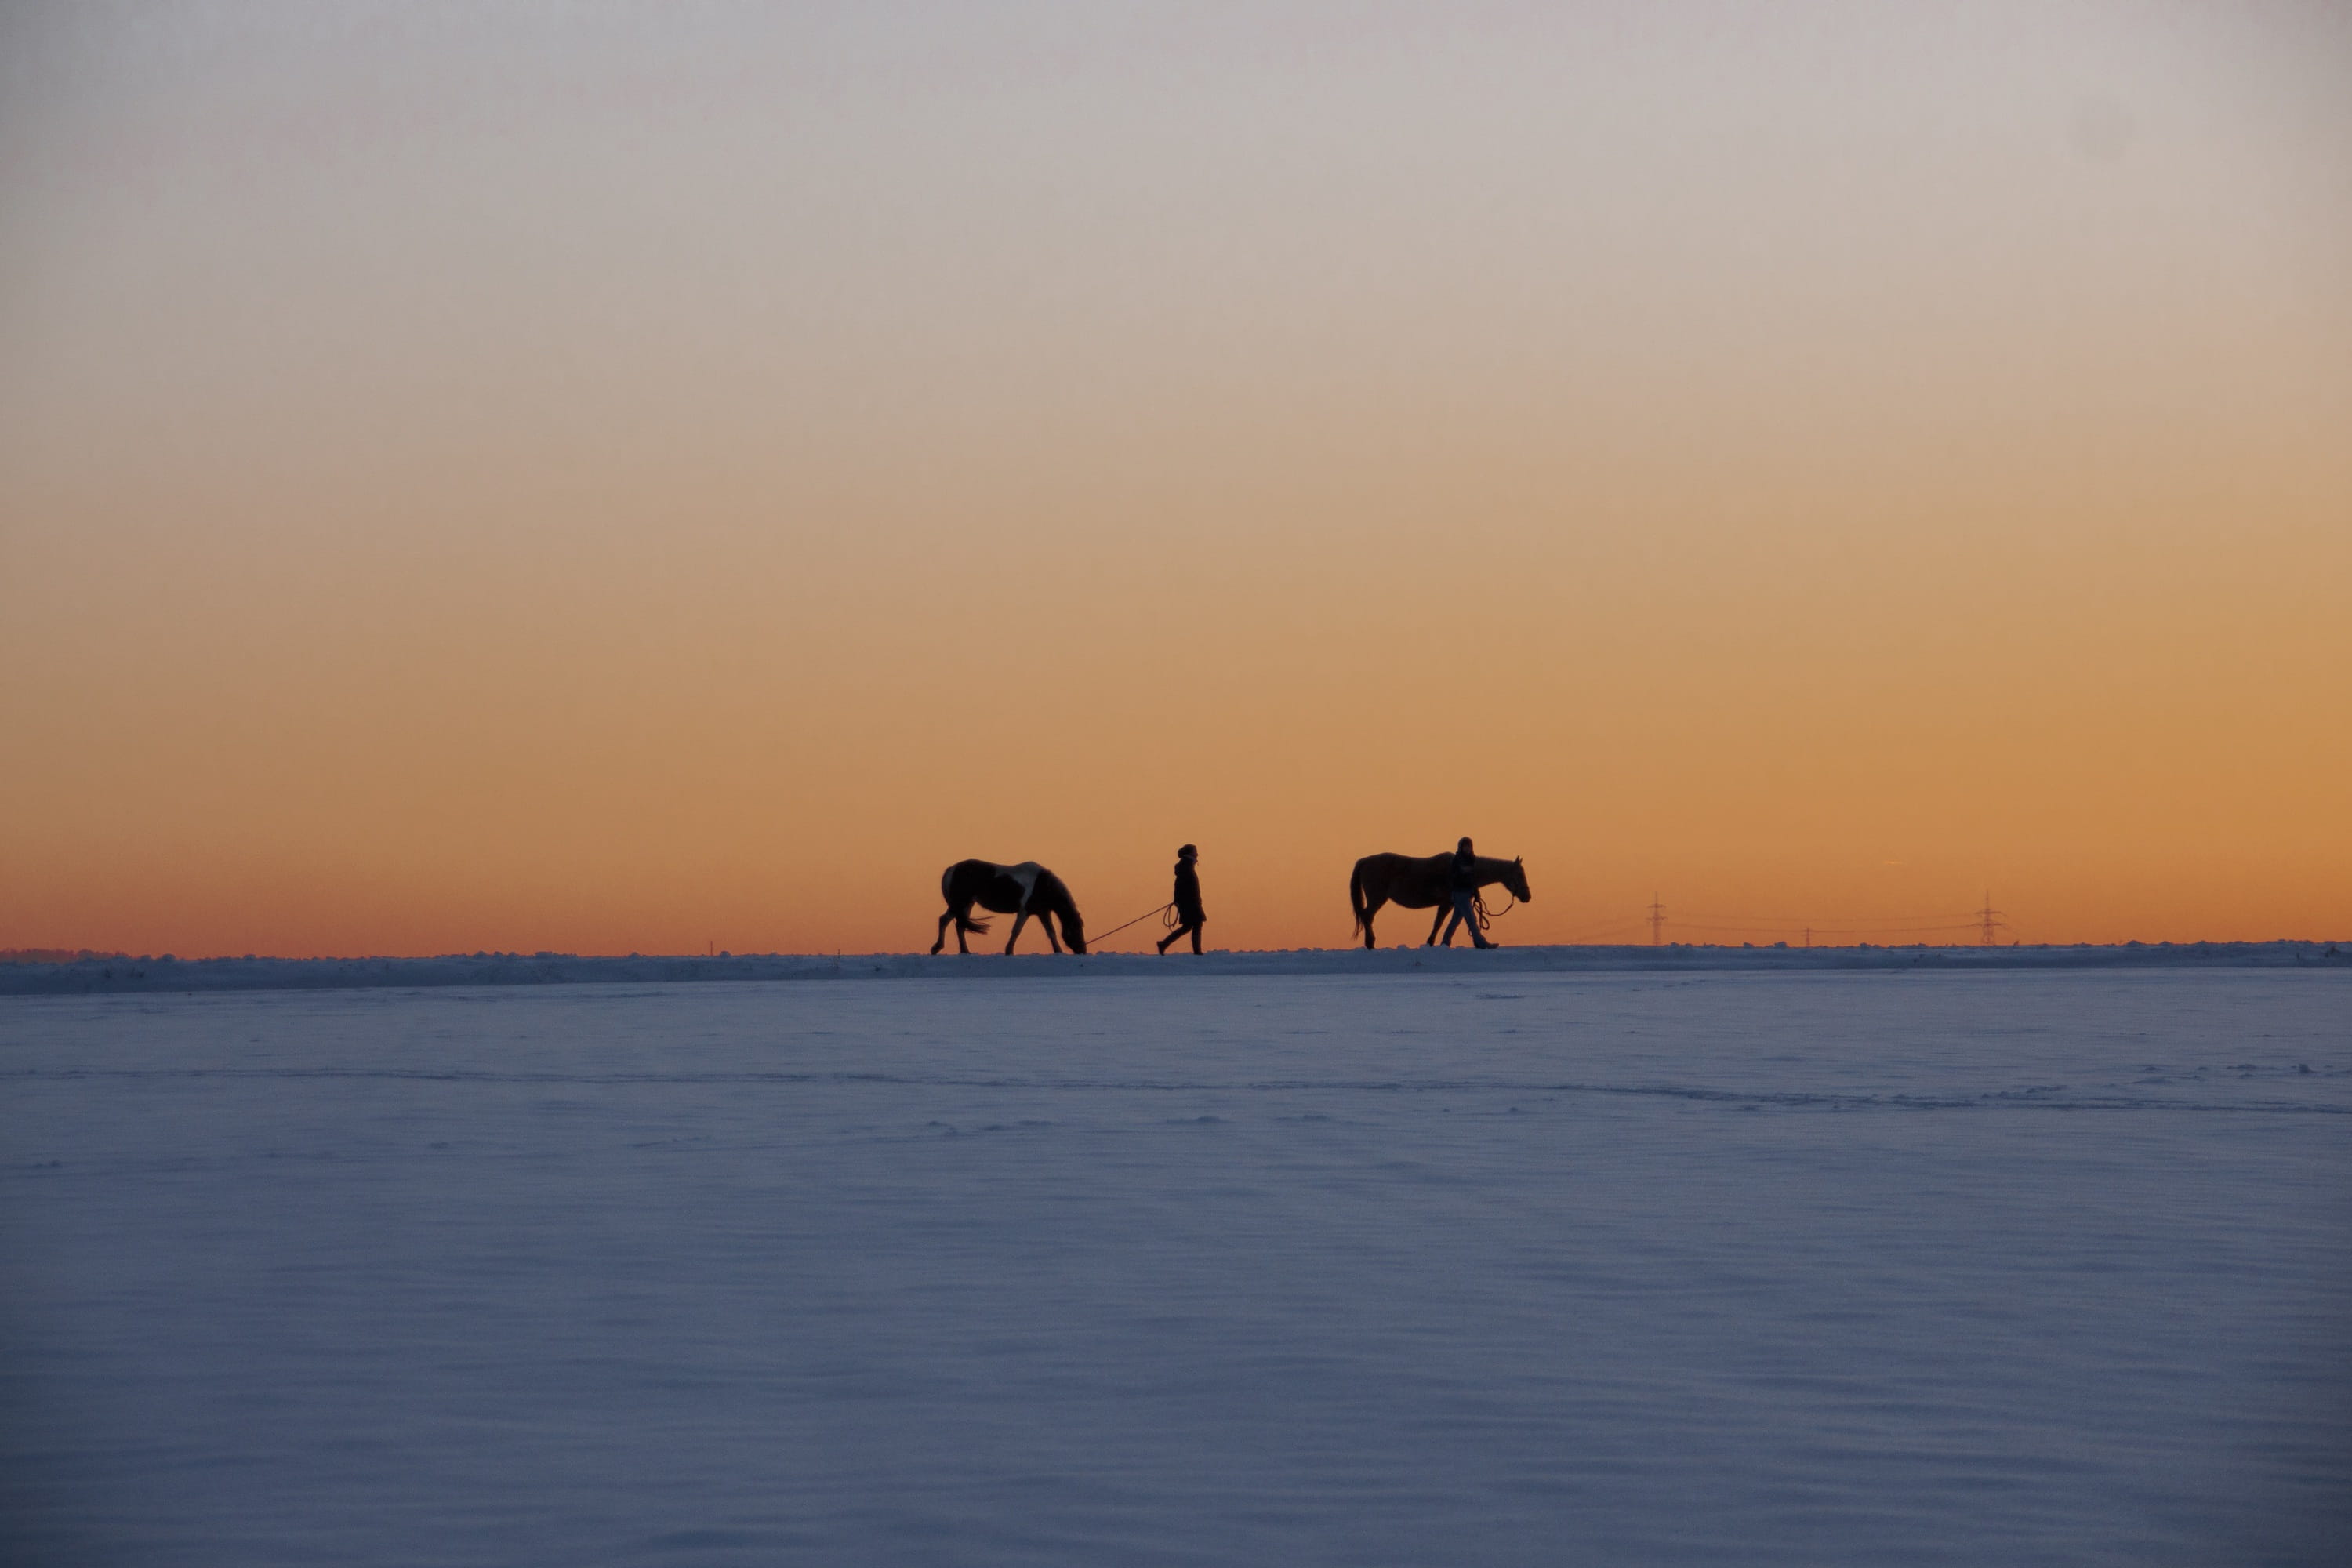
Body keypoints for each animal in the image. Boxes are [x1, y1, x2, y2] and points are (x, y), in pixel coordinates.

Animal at [931, 859, 1089, 955]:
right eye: (1076, 929)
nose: (1083, 950)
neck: (1042, 884)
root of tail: (951, 869)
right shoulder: (1025, 911)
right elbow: (1016, 931)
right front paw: (1009, 951)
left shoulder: (1043, 912)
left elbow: (1051, 932)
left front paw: (1058, 951)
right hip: (959, 904)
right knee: (945, 920)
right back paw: (937, 947)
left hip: (966, 904)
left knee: (959, 925)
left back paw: (965, 951)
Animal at [1349, 852, 1532, 949]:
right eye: (1520, 875)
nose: (1527, 897)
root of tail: (1365, 861)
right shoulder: (1447, 904)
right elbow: (1439, 923)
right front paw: (1431, 943)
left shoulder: (1455, 904)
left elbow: (1455, 921)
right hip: (1377, 899)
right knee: (1367, 917)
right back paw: (1370, 943)